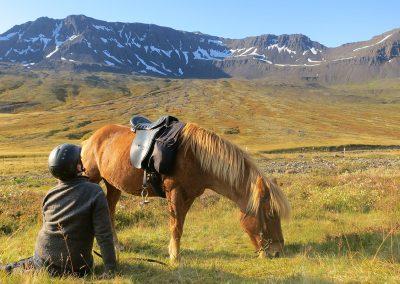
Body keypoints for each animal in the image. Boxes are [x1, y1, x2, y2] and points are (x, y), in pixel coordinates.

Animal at [80, 122, 290, 262]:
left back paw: (116, 245)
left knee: (110, 212)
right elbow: (175, 227)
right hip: (92, 179)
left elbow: (179, 226)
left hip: (113, 185)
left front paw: (173, 252)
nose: (278, 252)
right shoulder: (175, 194)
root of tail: (91, 139)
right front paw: (175, 257)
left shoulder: (189, 197)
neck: (196, 157)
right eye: (270, 214)